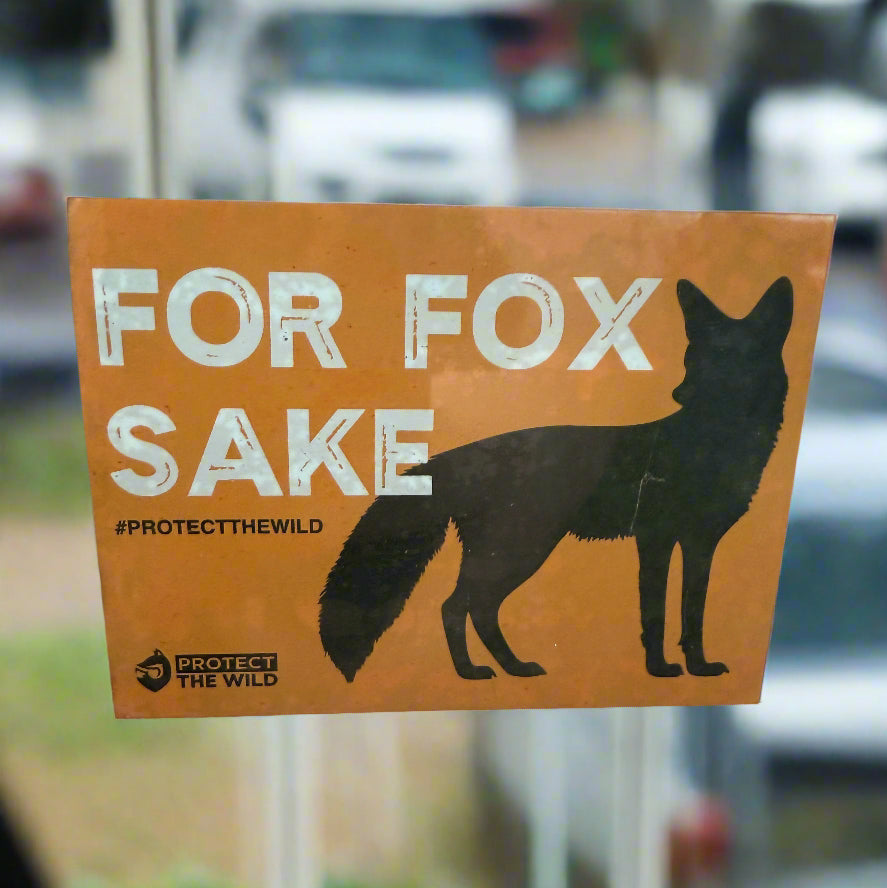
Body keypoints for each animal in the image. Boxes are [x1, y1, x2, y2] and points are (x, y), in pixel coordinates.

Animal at [319, 276, 793, 682]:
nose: (680, 394)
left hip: (511, 551)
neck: (710, 446)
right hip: (519, 550)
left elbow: (692, 612)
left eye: (729, 359)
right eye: (693, 359)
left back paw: (505, 668)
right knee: (458, 606)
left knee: (472, 608)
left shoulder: (700, 544)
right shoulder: (656, 539)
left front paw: (698, 667)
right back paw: (477, 672)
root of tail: (456, 457)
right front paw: (660, 670)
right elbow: (655, 613)